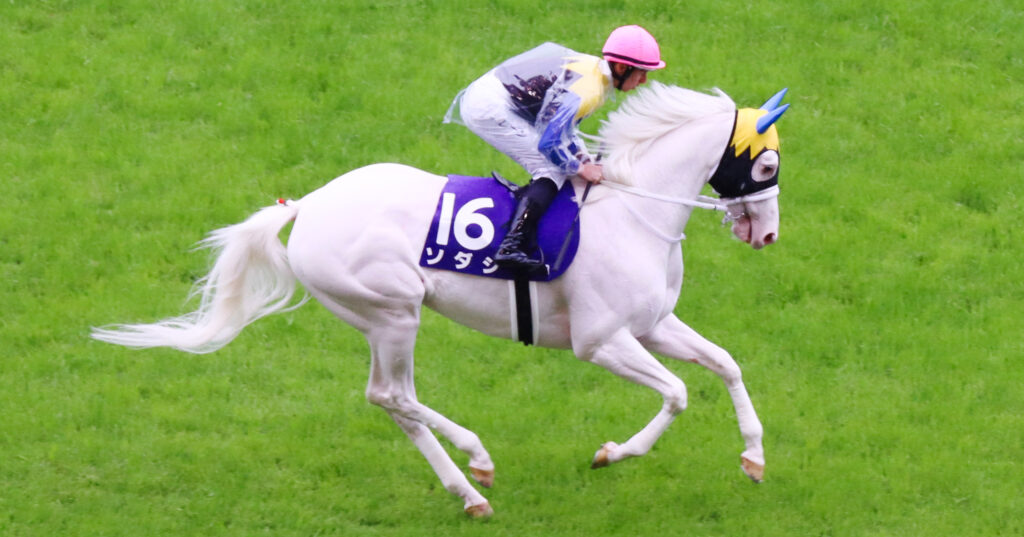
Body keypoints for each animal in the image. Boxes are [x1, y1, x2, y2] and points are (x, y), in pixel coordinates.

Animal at [92, 82, 789, 518]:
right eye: (764, 167)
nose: (769, 234)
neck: (634, 211)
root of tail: (309, 206)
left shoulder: (651, 324)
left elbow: (726, 364)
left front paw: (755, 458)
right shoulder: (599, 341)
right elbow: (677, 393)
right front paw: (614, 453)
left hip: (378, 320)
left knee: (391, 401)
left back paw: (469, 494)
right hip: (393, 310)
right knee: (392, 394)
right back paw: (477, 459)